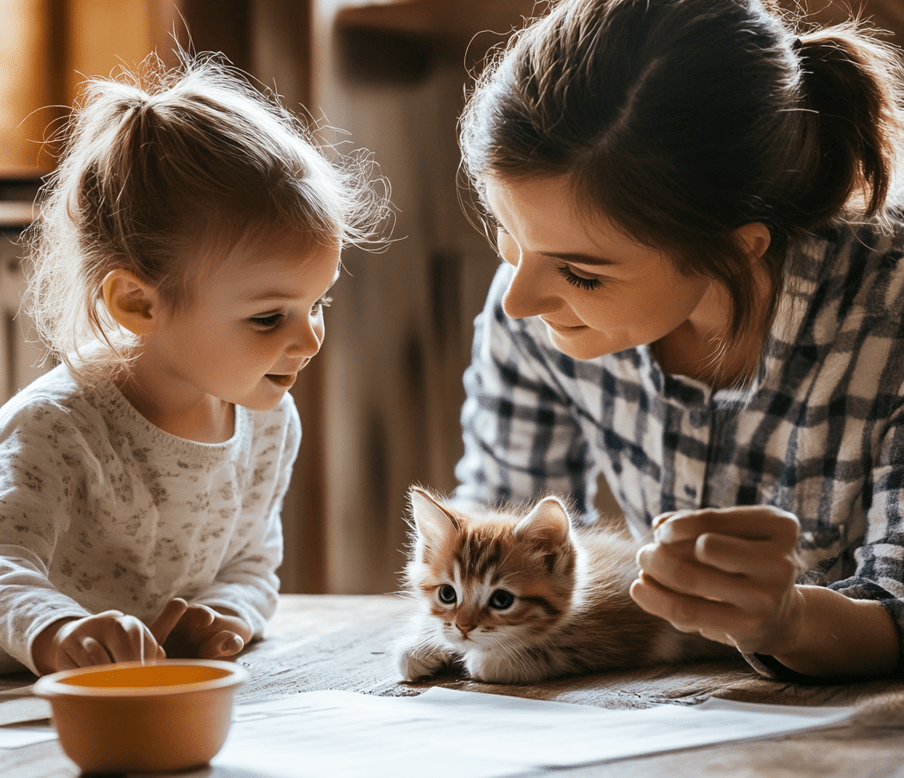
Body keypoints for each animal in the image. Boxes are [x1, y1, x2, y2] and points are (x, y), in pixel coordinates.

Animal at [396, 488, 728, 684]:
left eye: (502, 600)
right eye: (447, 594)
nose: (464, 628)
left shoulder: (628, 630)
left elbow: (497, 661)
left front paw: (482, 657)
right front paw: (423, 646)